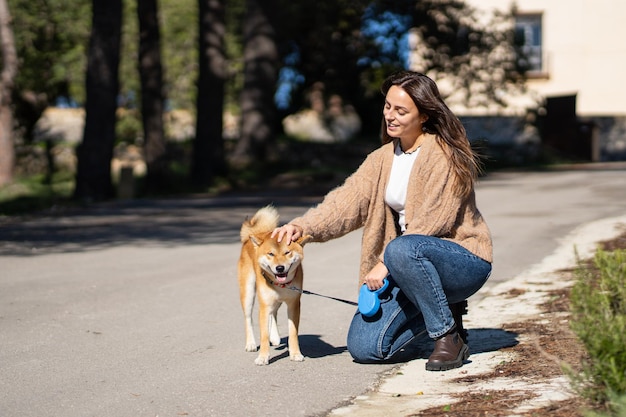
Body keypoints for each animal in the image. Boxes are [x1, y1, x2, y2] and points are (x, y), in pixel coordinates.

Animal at [236, 206, 310, 364]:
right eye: (270, 254)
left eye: (287, 253)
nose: (280, 268)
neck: (280, 284)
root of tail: (253, 235)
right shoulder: (264, 305)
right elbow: (263, 335)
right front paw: (263, 357)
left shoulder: (294, 304)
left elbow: (293, 333)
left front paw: (295, 353)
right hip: (249, 293)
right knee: (248, 318)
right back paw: (251, 343)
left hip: (275, 300)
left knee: (274, 313)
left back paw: (275, 336)